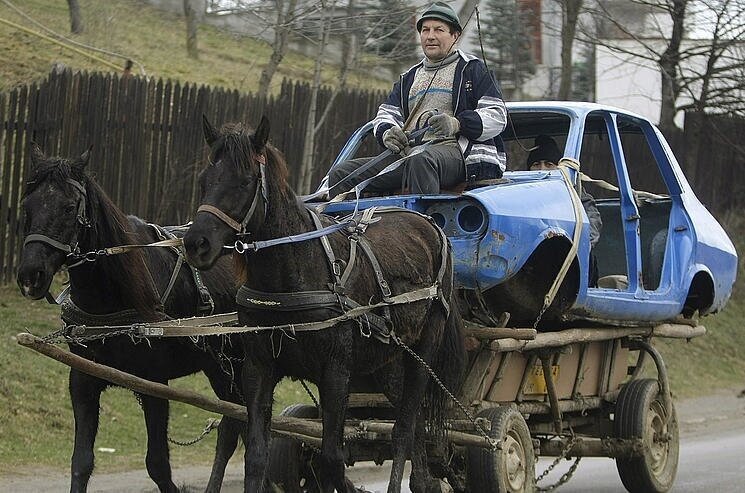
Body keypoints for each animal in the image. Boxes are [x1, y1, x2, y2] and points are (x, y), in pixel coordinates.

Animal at [14, 143, 243, 492]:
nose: (30, 275)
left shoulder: (154, 383)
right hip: (223, 367)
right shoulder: (83, 380)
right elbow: (81, 463)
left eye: (68, 208)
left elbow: (158, 464)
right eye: (28, 205)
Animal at [182, 116, 464, 492]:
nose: (196, 243)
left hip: (424, 352)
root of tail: (430, 225)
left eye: (244, 181)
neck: (296, 268)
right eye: (204, 180)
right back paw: (424, 482)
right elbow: (256, 455)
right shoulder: (258, 369)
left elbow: (331, 458)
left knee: (404, 428)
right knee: (414, 425)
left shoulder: (335, 373)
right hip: (386, 363)